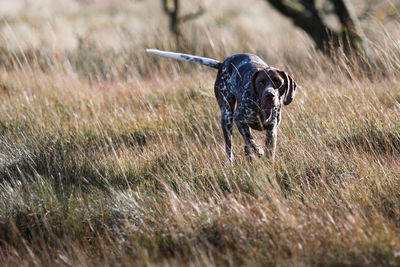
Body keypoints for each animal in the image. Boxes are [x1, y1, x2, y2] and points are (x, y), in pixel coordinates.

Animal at [147, 48, 296, 161]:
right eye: (261, 82)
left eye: (278, 82)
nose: (270, 95)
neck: (261, 108)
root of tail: (223, 63)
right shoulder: (239, 120)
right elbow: (251, 141)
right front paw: (259, 150)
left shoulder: (272, 131)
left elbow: (267, 153)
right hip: (226, 118)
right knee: (230, 150)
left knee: (246, 149)